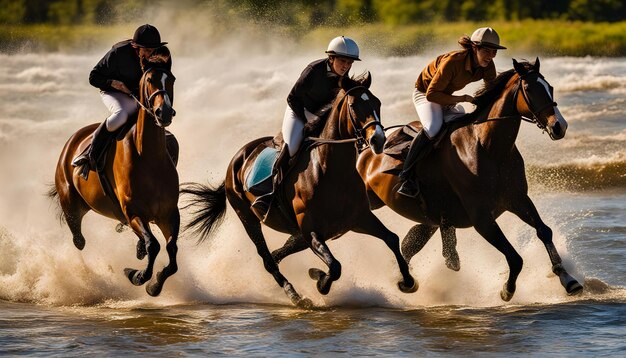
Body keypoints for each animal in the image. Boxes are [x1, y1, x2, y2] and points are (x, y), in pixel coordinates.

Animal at [48, 63, 178, 296]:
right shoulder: (134, 212)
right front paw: (137, 276)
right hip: (71, 203)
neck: (150, 158)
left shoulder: (169, 213)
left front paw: (154, 284)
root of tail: (73, 141)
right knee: (78, 240)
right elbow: (153, 245)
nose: (163, 113)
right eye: (150, 79)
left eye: (171, 80)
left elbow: (171, 251)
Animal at [180, 73, 414, 308]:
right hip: (248, 218)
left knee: (277, 254)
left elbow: (392, 239)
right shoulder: (311, 230)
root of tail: (236, 159)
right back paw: (295, 295)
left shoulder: (358, 219)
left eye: (377, 103)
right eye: (354, 105)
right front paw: (320, 281)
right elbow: (335, 267)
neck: (333, 172)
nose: (378, 139)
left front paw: (408, 282)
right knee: (268, 260)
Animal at [358, 59, 584, 302]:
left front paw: (568, 279)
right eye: (530, 89)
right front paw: (507, 290)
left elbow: (544, 231)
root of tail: (365, 150)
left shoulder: (518, 200)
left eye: (549, 87)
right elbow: (515, 258)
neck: (489, 148)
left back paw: (405, 279)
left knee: (410, 245)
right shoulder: (481, 217)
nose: (559, 126)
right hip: (371, 200)